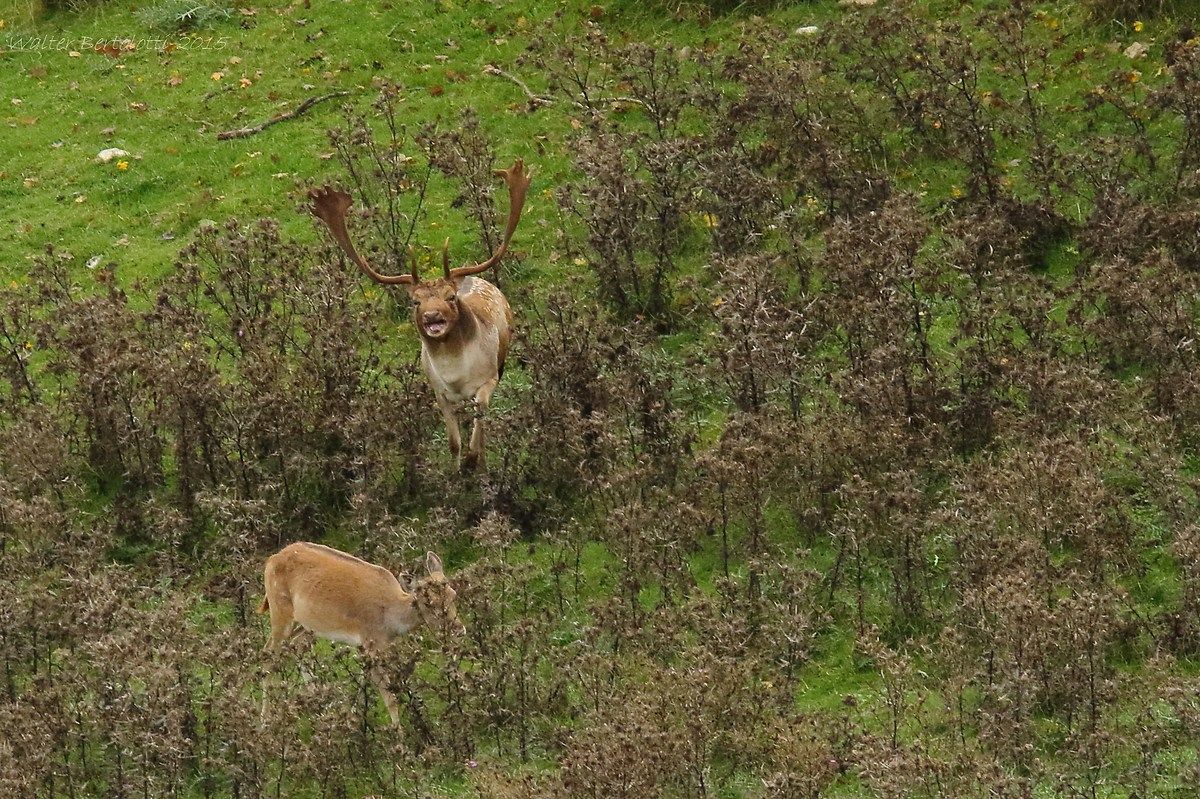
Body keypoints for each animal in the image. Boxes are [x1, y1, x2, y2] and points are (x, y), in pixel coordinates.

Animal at [258, 541, 464, 726]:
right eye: (429, 603)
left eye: (453, 594)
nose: (459, 630)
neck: (391, 620)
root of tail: (271, 559)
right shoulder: (372, 640)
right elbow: (389, 696)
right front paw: (399, 735)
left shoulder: (366, 645)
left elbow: (366, 681)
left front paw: (353, 718)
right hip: (279, 609)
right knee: (269, 653)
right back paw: (264, 721)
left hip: (307, 624)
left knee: (296, 646)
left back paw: (319, 706)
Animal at [308, 160, 532, 472]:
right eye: (415, 301)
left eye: (450, 297)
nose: (432, 316)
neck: (455, 376)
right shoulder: (439, 392)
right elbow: (453, 443)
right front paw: (456, 472)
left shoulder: (488, 379)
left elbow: (479, 423)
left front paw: (473, 461)